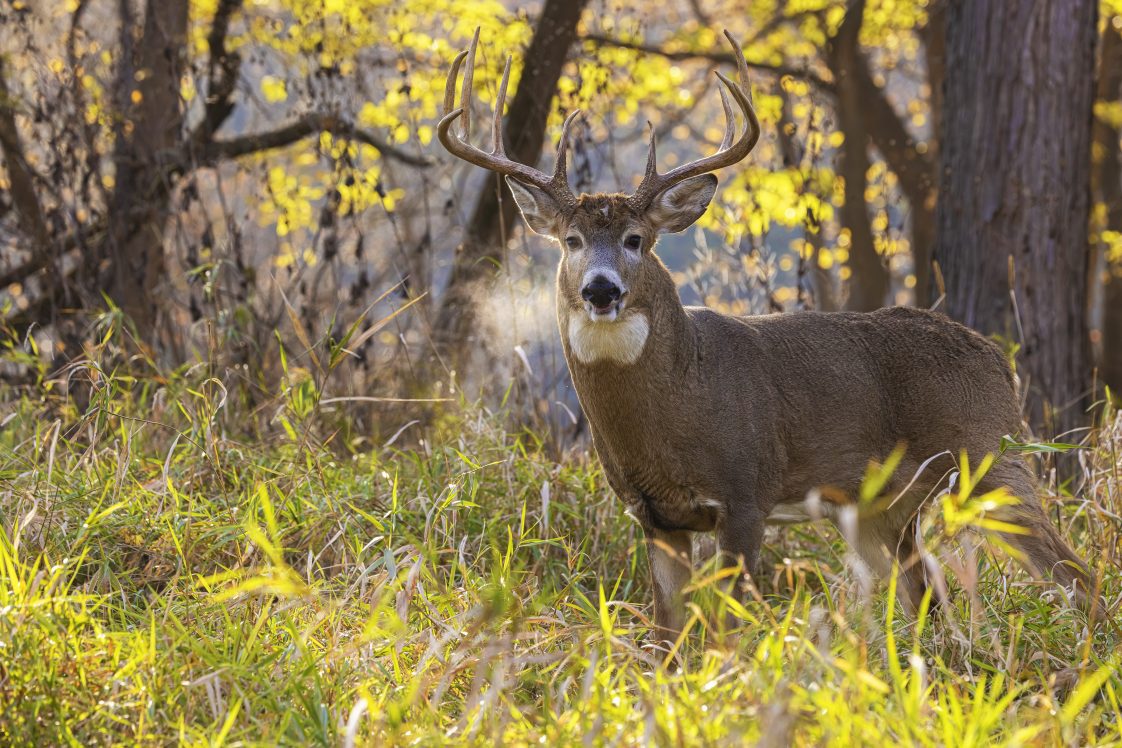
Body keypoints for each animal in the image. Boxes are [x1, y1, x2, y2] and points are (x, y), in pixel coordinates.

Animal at [435, 27, 1086, 636]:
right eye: (570, 241)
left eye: (636, 239)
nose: (601, 289)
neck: (677, 404)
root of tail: (998, 359)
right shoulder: (654, 517)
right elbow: (666, 636)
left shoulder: (746, 493)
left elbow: (728, 626)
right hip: (884, 506)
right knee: (927, 593)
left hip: (992, 458)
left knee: (1075, 573)